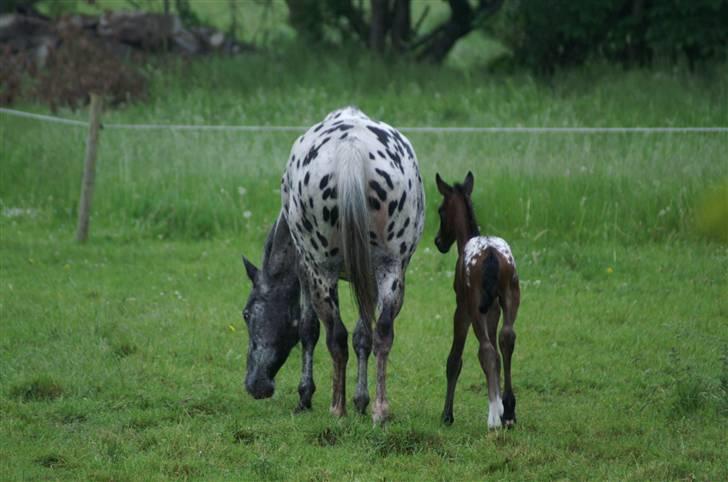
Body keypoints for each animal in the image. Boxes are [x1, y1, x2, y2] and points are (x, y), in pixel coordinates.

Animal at [242, 106, 424, 422]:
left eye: (246, 313)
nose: (255, 385)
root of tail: (351, 150)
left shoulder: (305, 270)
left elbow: (308, 329)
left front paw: (305, 396)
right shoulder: (368, 279)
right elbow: (363, 335)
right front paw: (361, 400)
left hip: (322, 272)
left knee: (335, 336)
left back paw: (337, 408)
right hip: (391, 269)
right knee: (383, 332)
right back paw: (380, 410)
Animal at [436, 172, 520, 430]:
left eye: (440, 210)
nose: (438, 241)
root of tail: (491, 254)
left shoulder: (461, 307)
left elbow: (454, 360)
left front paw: (447, 415)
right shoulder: (493, 308)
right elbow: (498, 354)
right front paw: (503, 407)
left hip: (474, 306)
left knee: (486, 349)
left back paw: (493, 417)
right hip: (511, 295)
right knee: (506, 338)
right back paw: (508, 410)